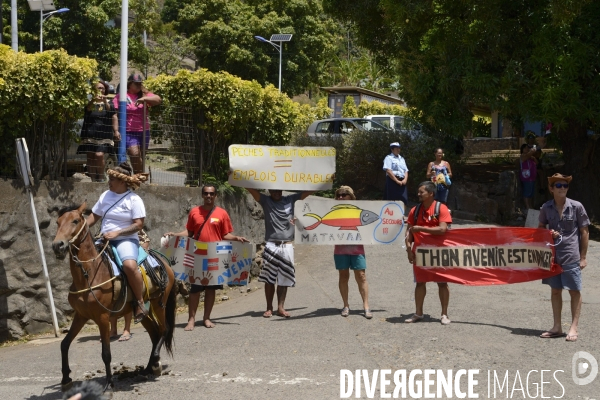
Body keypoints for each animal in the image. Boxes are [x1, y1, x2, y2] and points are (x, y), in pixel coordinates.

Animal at [51, 203, 176, 394]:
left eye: (75, 220)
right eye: (58, 222)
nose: (58, 245)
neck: (90, 274)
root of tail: (165, 264)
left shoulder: (102, 318)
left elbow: (106, 353)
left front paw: (109, 384)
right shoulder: (81, 315)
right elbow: (64, 344)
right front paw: (66, 379)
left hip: (158, 304)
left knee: (164, 329)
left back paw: (155, 364)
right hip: (143, 312)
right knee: (154, 334)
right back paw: (148, 368)